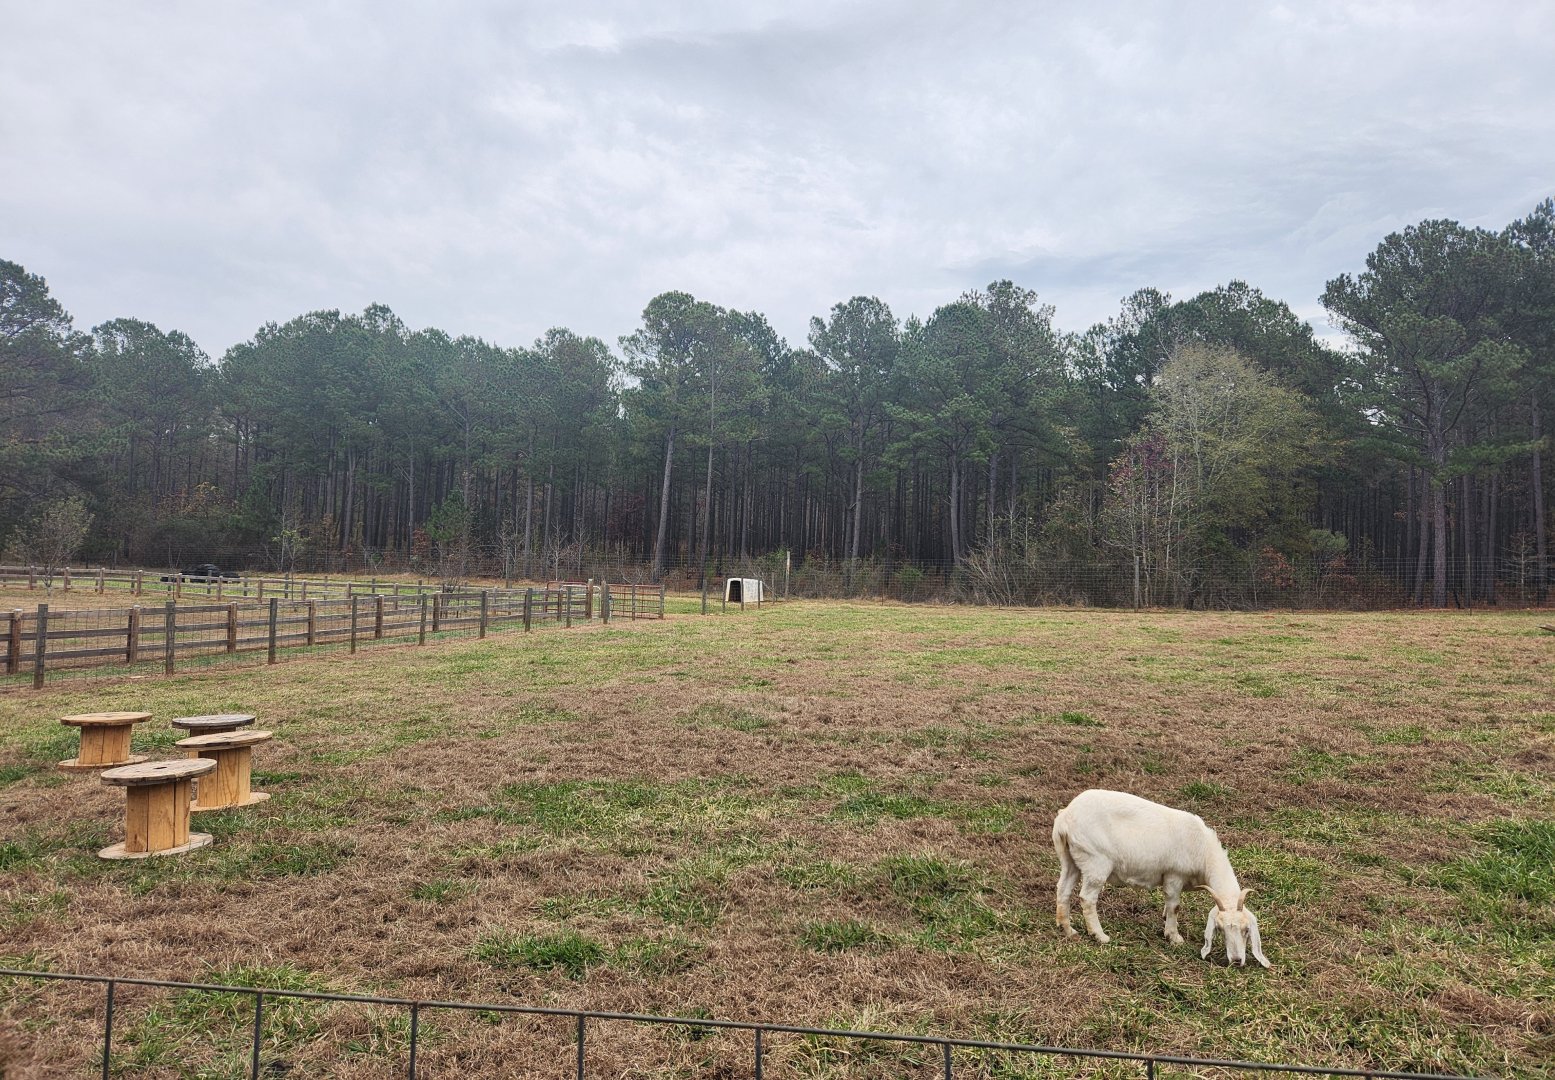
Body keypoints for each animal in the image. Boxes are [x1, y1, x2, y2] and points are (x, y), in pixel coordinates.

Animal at [1052, 789, 1269, 967]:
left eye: (1246, 930)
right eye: (1221, 929)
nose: (1237, 960)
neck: (1204, 852)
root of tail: (1065, 818)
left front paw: (1166, 920)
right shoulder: (1174, 874)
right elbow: (1175, 906)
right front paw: (1173, 936)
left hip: (1071, 859)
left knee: (1063, 890)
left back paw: (1068, 929)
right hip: (1095, 860)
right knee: (1087, 898)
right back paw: (1099, 935)